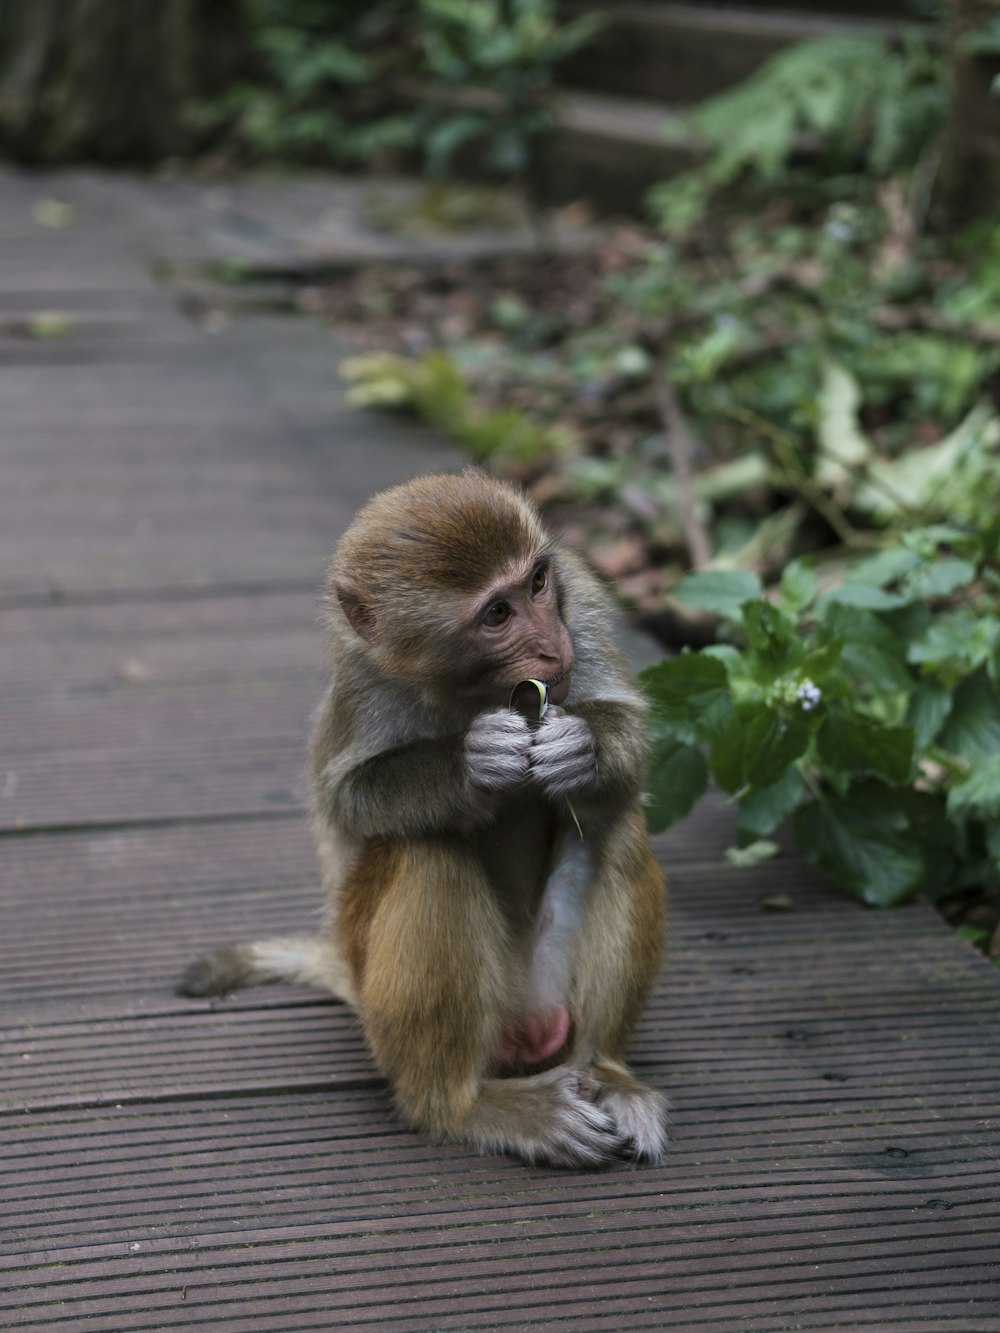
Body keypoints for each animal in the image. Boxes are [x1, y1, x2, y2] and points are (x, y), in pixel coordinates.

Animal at [182, 469, 666, 1167]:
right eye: (497, 614)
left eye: (538, 584)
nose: (553, 647)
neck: (470, 690)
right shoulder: (363, 678)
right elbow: (348, 798)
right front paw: (470, 765)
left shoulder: (584, 605)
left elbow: (632, 741)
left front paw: (583, 749)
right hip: (386, 988)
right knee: (425, 851)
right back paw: (464, 1106)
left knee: (615, 829)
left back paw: (606, 1073)